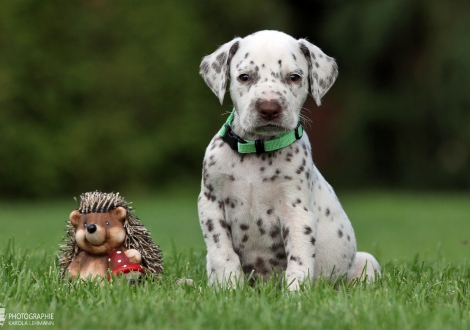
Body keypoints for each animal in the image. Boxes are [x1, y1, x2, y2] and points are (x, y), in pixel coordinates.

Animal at [196, 29, 380, 290]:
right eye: (244, 77)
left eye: (294, 77)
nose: (269, 108)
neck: (257, 149)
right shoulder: (210, 204)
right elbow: (223, 254)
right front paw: (229, 289)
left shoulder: (297, 211)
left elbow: (300, 259)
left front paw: (295, 294)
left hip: (367, 261)